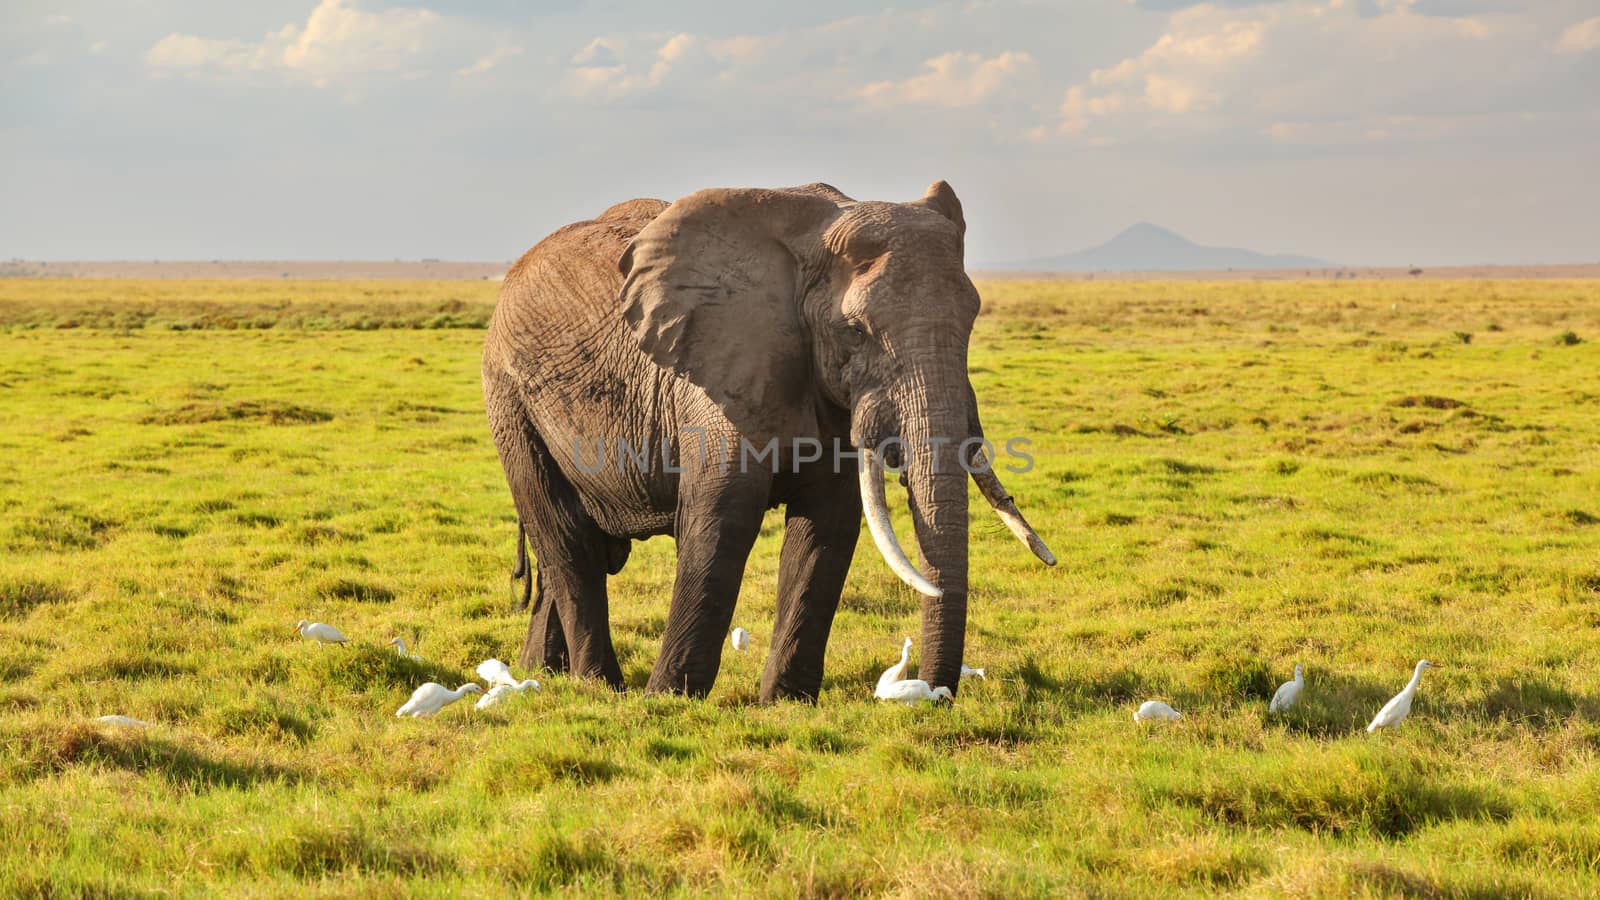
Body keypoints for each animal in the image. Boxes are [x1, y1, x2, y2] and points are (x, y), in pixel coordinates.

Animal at [480, 180, 1056, 701]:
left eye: (971, 320)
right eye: (855, 331)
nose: (936, 694)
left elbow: (828, 526)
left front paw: (785, 701)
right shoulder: (719, 375)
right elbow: (721, 519)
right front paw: (668, 700)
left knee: (586, 549)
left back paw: (541, 676)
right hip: (511, 400)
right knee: (568, 540)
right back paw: (601, 686)